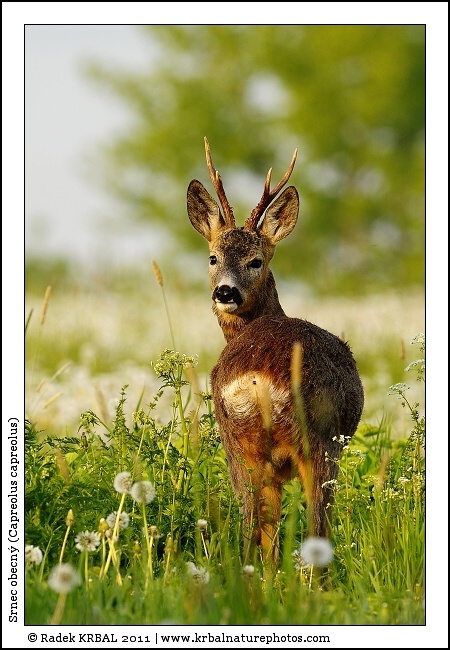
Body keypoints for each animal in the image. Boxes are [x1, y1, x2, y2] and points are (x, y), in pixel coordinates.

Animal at [187, 137, 364, 569]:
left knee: (254, 531)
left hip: (237, 445)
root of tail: (256, 378)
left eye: (256, 260)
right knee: (316, 527)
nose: (226, 292)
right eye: (213, 257)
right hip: (320, 440)